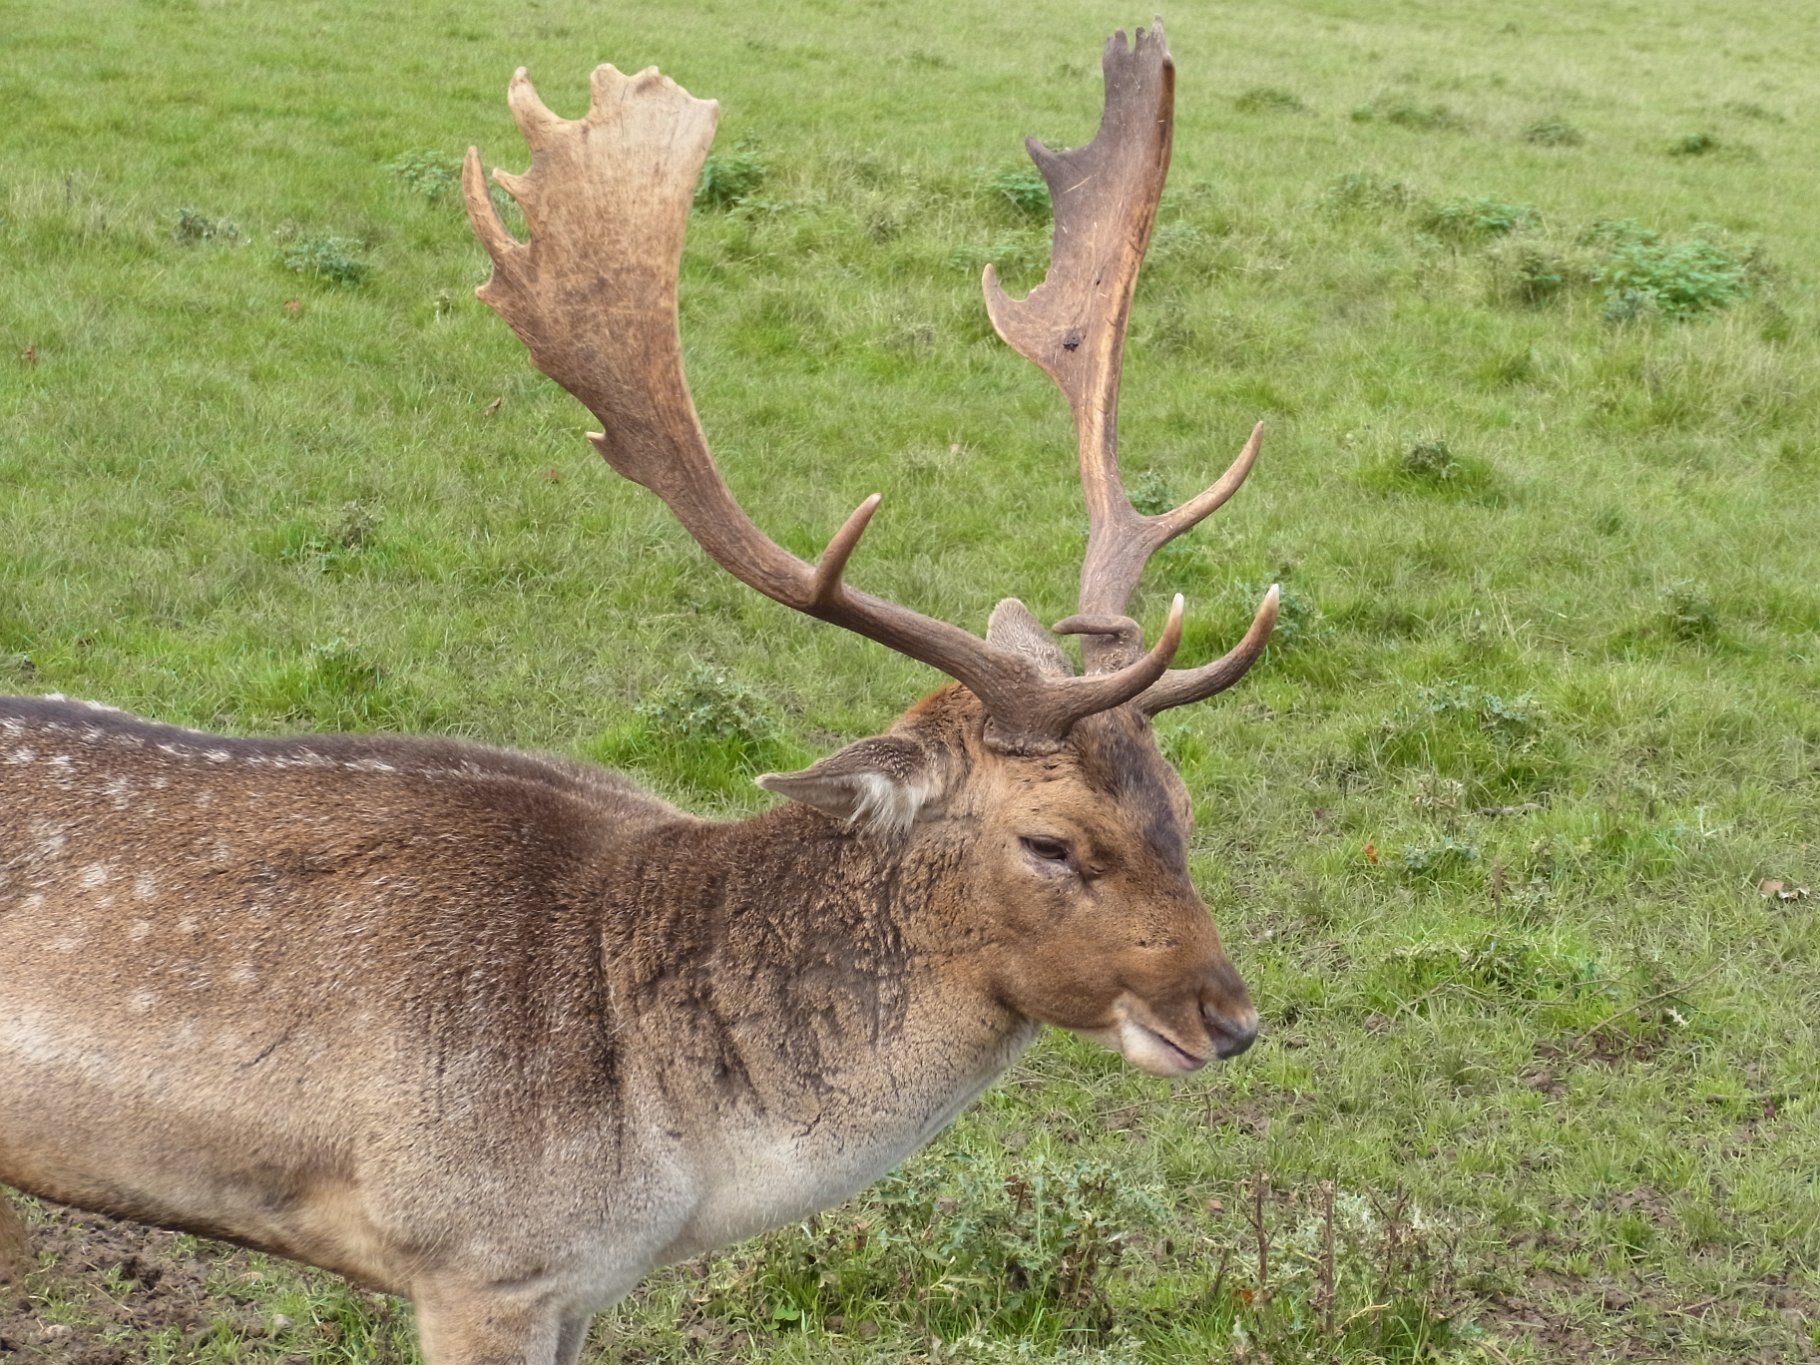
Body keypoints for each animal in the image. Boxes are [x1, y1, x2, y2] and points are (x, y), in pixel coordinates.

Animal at [0, 20, 1278, 1364]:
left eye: (1180, 807)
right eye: (1050, 841)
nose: (1229, 1017)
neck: (673, 1168)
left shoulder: (576, 1289)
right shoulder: (478, 1260)